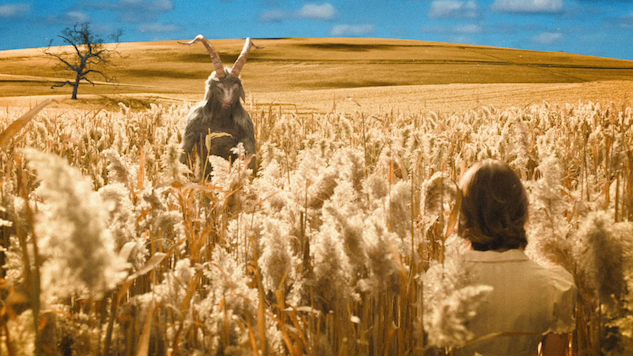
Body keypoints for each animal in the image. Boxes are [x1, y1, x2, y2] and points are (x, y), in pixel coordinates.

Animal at [178, 35, 260, 178]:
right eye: (220, 87)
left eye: (235, 88)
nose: (227, 101)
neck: (221, 118)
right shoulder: (192, 123)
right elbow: (185, 150)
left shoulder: (247, 126)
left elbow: (250, 155)